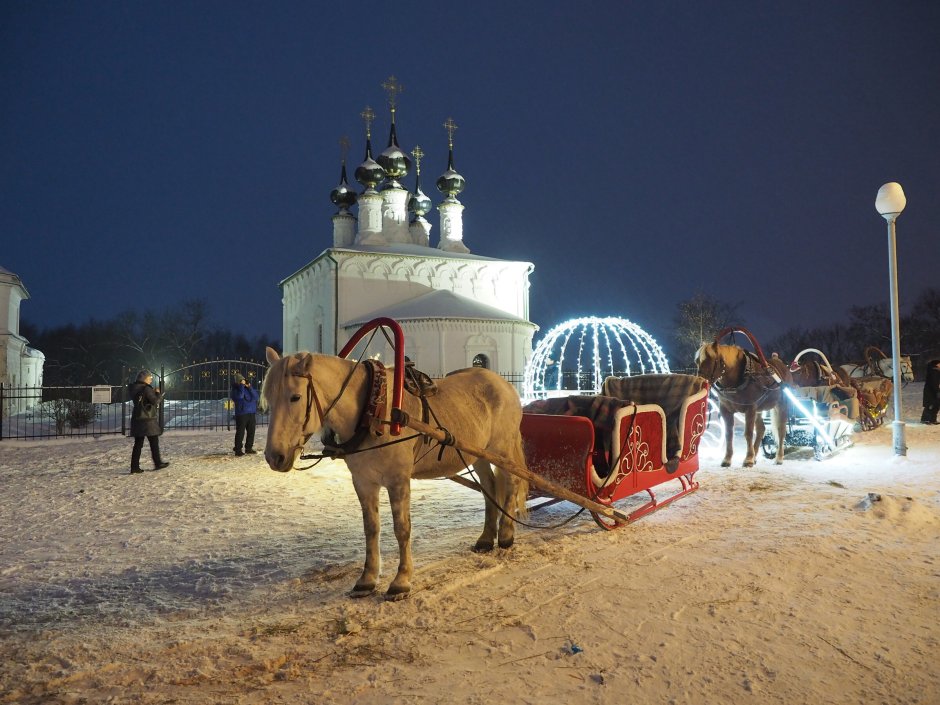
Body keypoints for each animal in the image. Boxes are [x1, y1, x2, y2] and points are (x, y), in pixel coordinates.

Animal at [260, 348, 528, 600]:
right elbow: (371, 528)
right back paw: (486, 538)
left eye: (295, 397)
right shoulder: (363, 481)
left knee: (512, 481)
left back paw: (506, 534)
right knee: (489, 487)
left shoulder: (398, 480)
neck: (373, 411)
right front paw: (367, 579)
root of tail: (503, 384)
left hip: (501, 448)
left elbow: (402, 528)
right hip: (477, 453)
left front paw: (401, 580)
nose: (274, 457)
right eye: (268, 399)